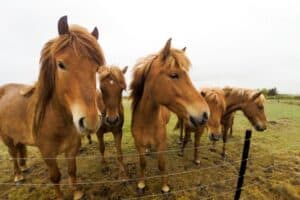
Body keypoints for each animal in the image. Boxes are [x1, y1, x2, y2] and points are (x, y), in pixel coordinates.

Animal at [0, 16, 105, 199]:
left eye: (96, 68)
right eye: (61, 64)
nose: (91, 121)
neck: (57, 119)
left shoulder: (72, 148)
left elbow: (72, 170)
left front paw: (77, 193)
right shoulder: (47, 153)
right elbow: (55, 176)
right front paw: (60, 196)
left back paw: (24, 168)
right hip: (6, 137)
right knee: (12, 154)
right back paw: (18, 176)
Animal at [130, 38, 210, 193]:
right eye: (174, 75)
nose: (205, 114)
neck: (146, 122)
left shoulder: (162, 144)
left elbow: (161, 164)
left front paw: (165, 186)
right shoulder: (138, 144)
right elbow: (142, 163)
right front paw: (141, 184)